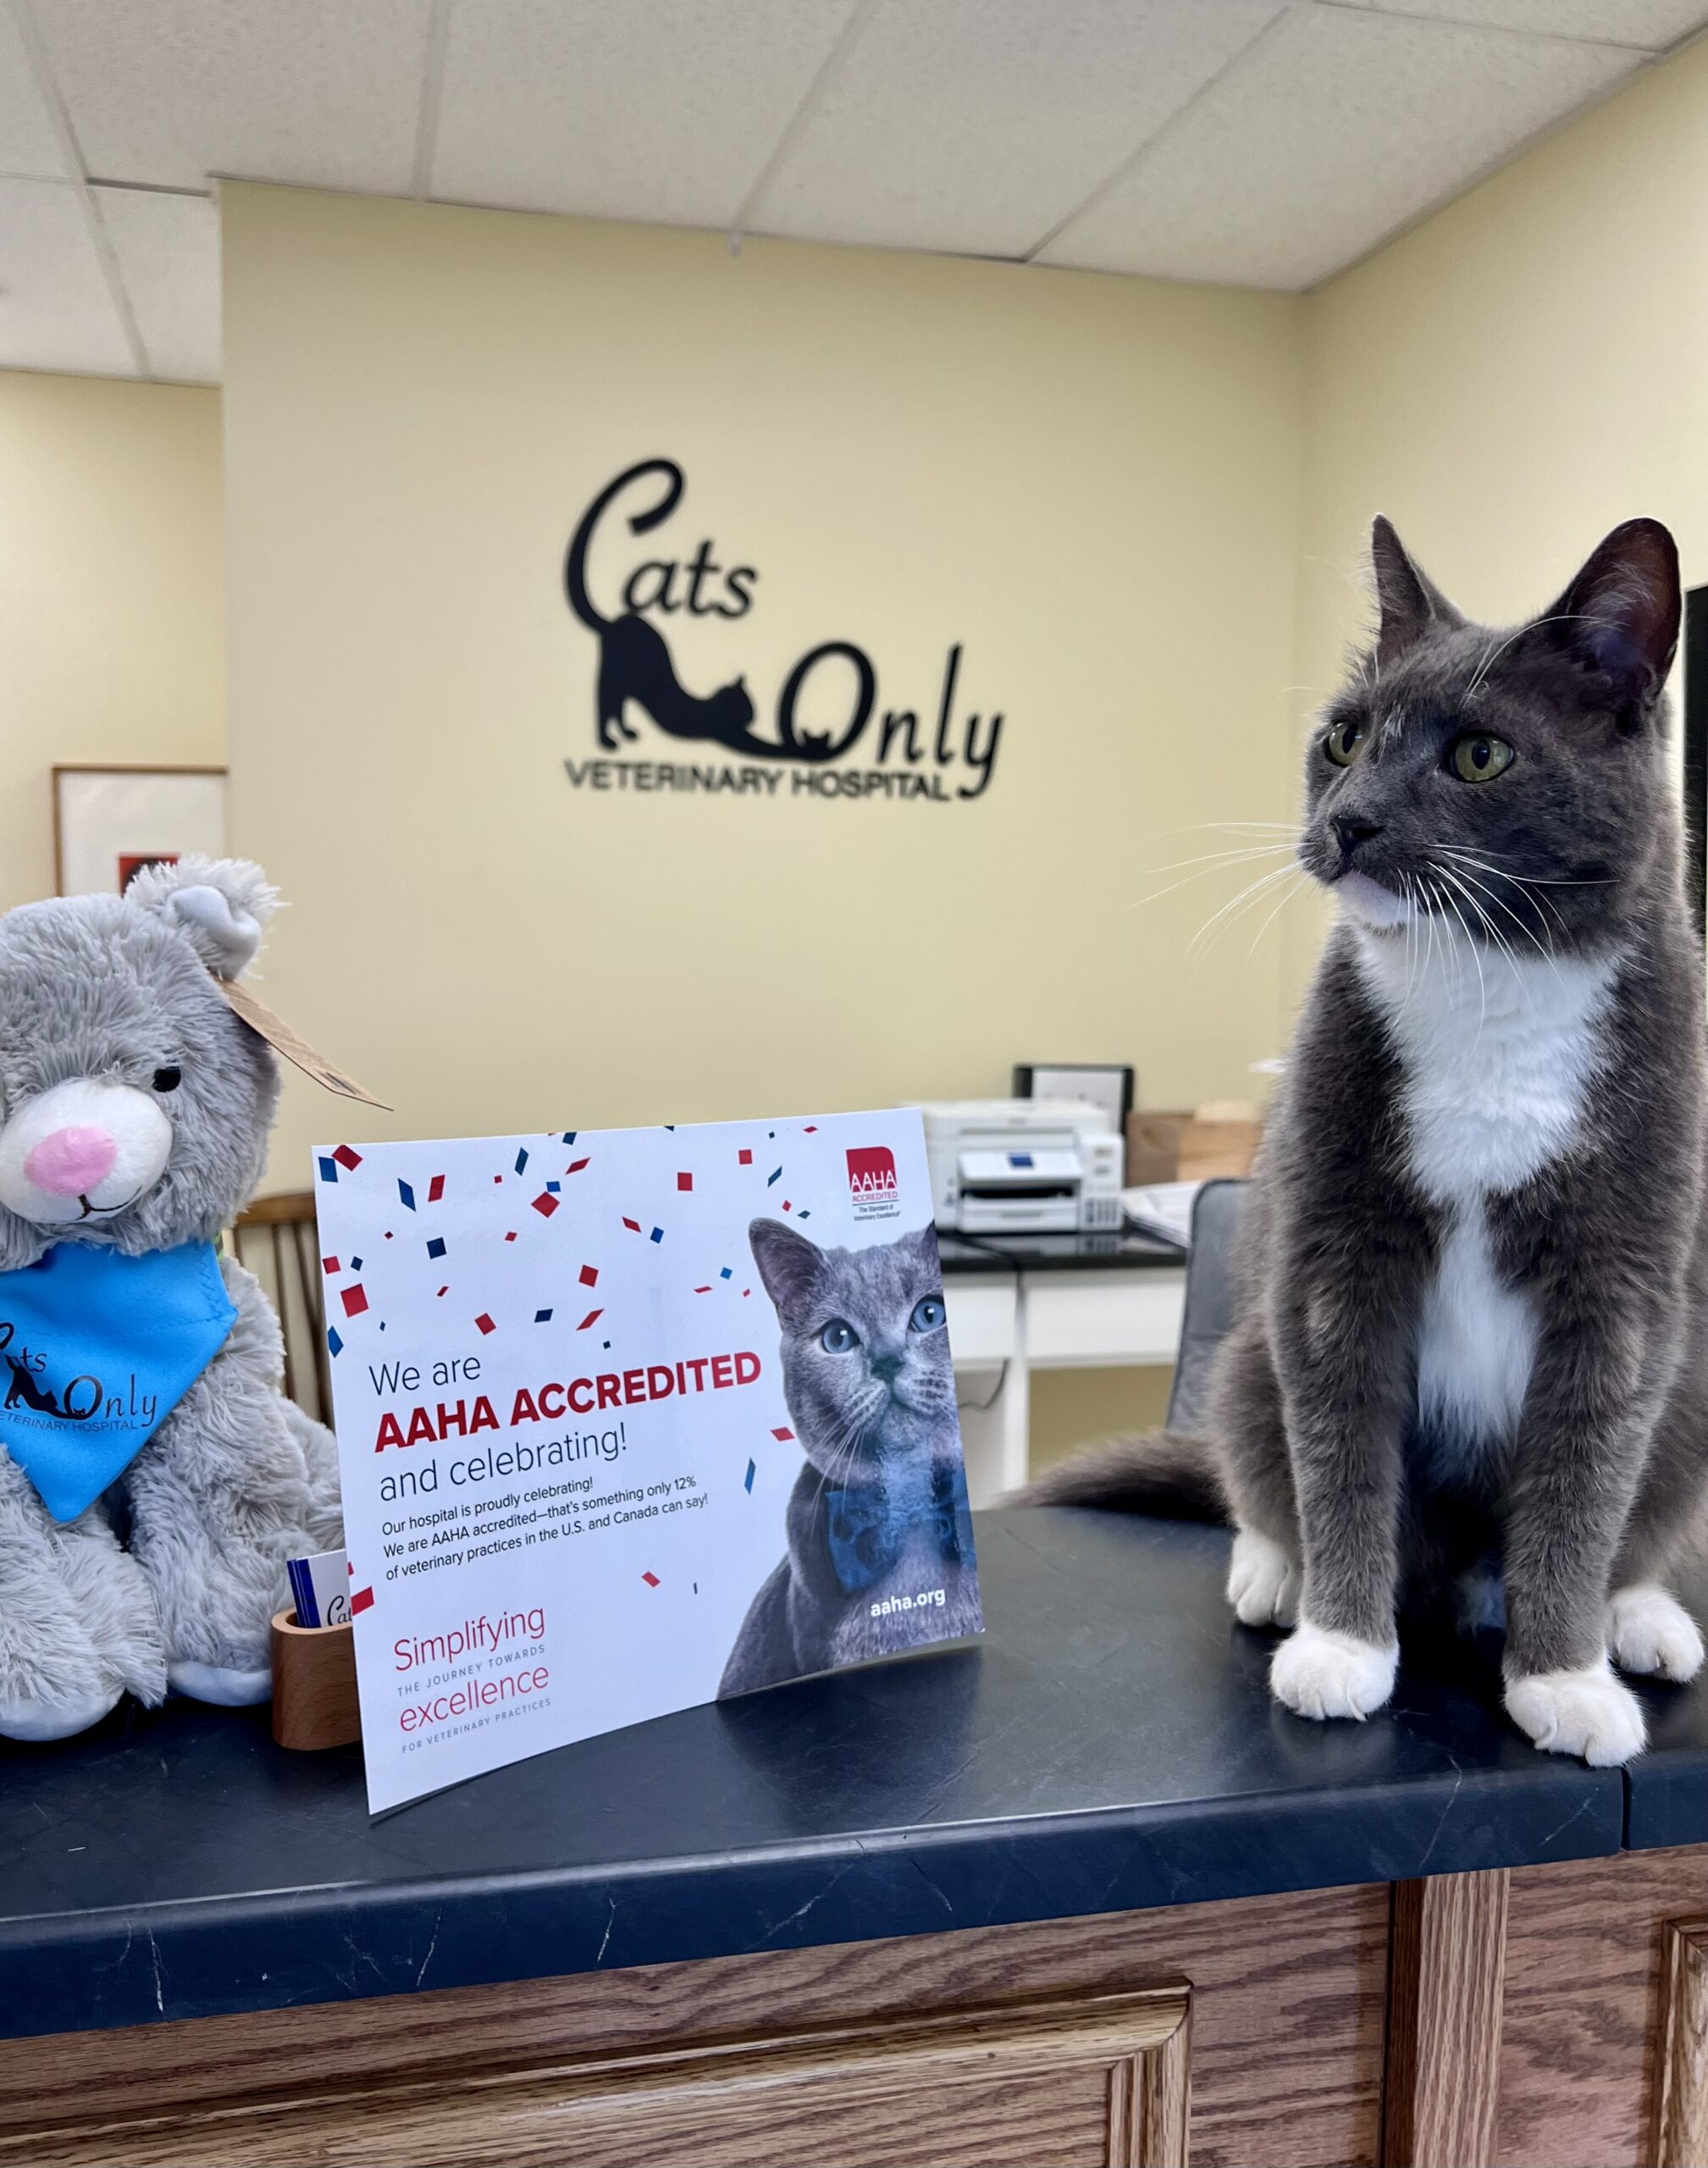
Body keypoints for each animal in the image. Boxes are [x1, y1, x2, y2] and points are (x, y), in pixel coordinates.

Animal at [1019, 516, 1699, 1768]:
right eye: (1342, 738)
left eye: (1478, 755)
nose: (1347, 821)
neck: (1485, 981)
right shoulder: (1335, 1238)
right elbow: (1338, 1438)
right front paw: (1342, 1645)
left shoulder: (1623, 1268)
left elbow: (1584, 1472)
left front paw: (1564, 1675)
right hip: (1243, 1358)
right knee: (1261, 1457)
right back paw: (1274, 1575)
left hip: (1698, 1386)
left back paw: (1640, 1616)